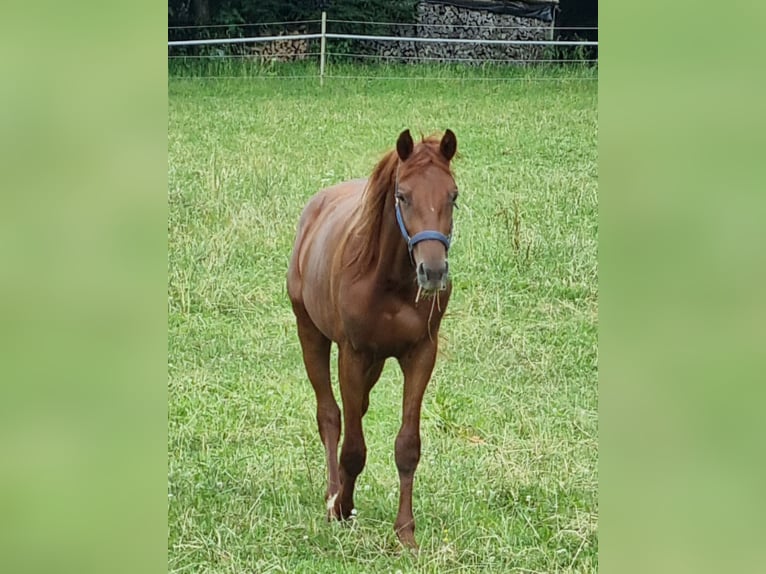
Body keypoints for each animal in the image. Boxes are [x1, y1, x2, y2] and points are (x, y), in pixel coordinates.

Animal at [286, 129, 456, 548]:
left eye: (453, 195)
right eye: (403, 195)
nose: (433, 272)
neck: (389, 281)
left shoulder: (420, 354)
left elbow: (407, 446)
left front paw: (406, 533)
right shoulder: (353, 354)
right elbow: (352, 446)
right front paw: (341, 508)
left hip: (376, 363)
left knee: (356, 409)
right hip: (310, 333)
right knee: (331, 416)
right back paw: (333, 494)